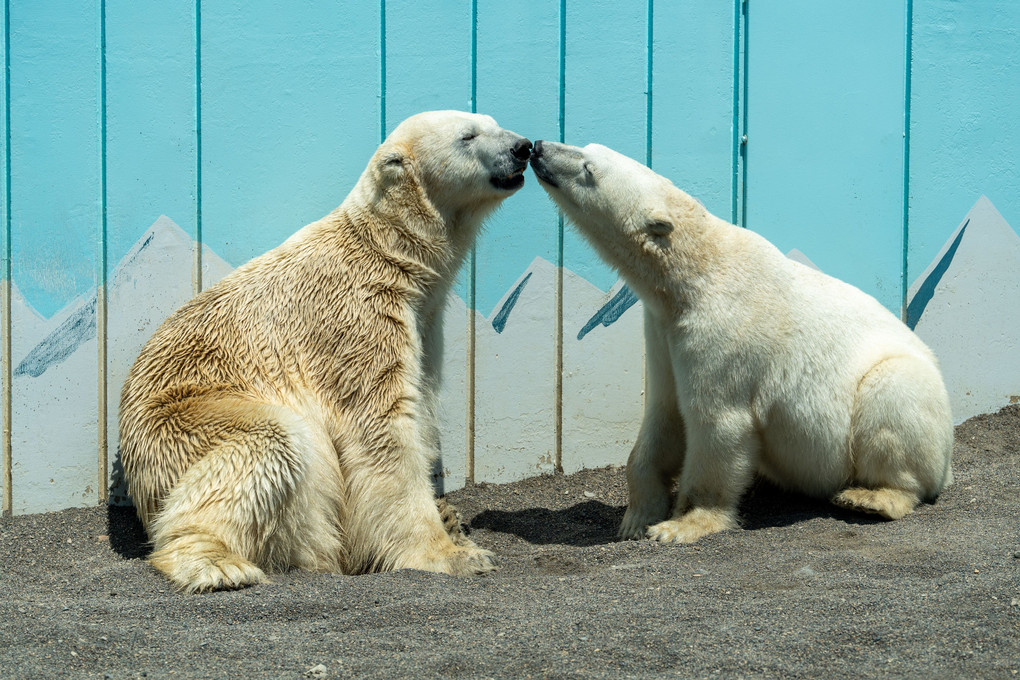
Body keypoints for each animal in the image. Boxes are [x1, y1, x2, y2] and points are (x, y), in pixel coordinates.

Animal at [119, 111, 534, 591]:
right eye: (468, 136)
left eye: (493, 122)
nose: (523, 147)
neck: (388, 252)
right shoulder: (355, 321)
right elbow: (382, 428)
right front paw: (449, 555)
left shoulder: (423, 323)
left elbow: (420, 408)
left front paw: (451, 525)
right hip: (181, 424)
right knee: (269, 444)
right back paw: (219, 564)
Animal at [530, 140, 950, 546]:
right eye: (586, 147)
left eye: (588, 168)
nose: (538, 148)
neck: (693, 274)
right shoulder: (663, 333)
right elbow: (663, 414)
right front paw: (636, 518)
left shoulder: (723, 333)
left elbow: (716, 423)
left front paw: (680, 525)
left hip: (906, 396)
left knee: (893, 401)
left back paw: (870, 497)